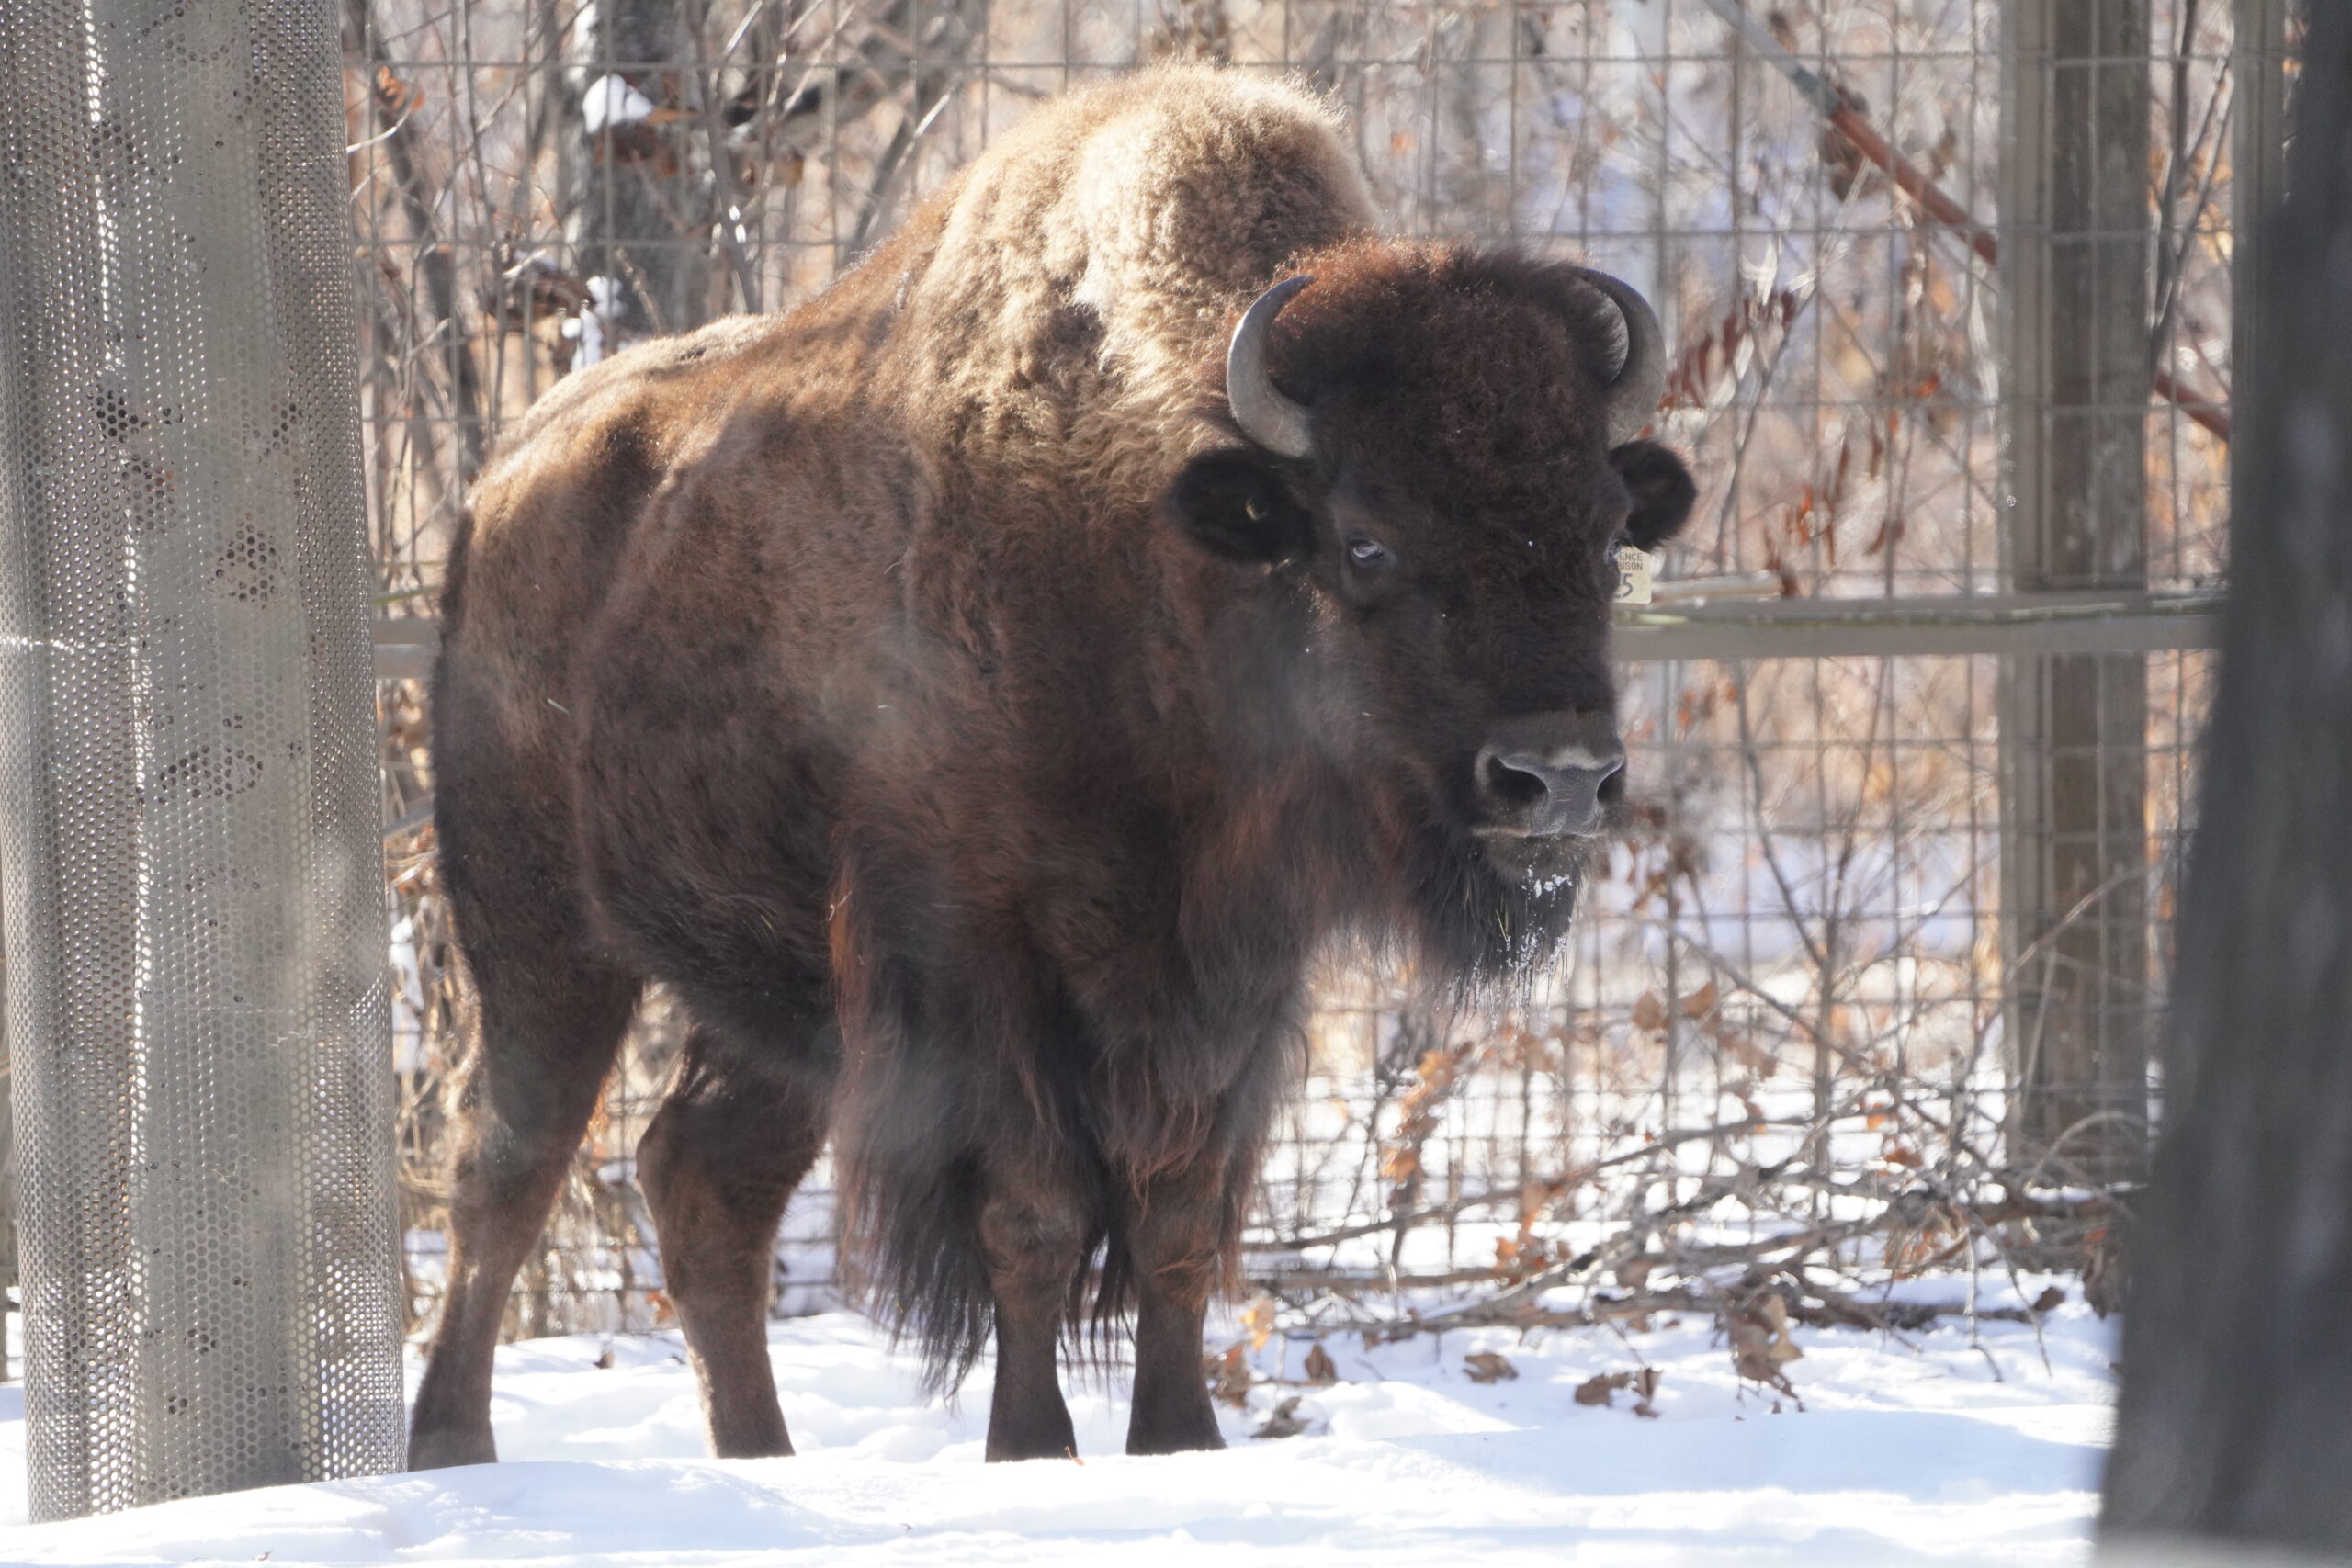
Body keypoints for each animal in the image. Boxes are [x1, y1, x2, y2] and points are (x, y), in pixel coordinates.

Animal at [408, 65, 1695, 1470]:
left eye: (1609, 535)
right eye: (1364, 542)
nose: (1557, 776)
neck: (1157, 553)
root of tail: (505, 479)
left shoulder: (1231, 974)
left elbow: (1177, 1213)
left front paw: (1179, 1440)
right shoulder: (983, 955)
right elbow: (1031, 1210)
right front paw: (1032, 1448)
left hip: (772, 989)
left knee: (700, 1178)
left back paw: (760, 1451)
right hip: (538, 929)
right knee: (507, 1161)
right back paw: (451, 1447)